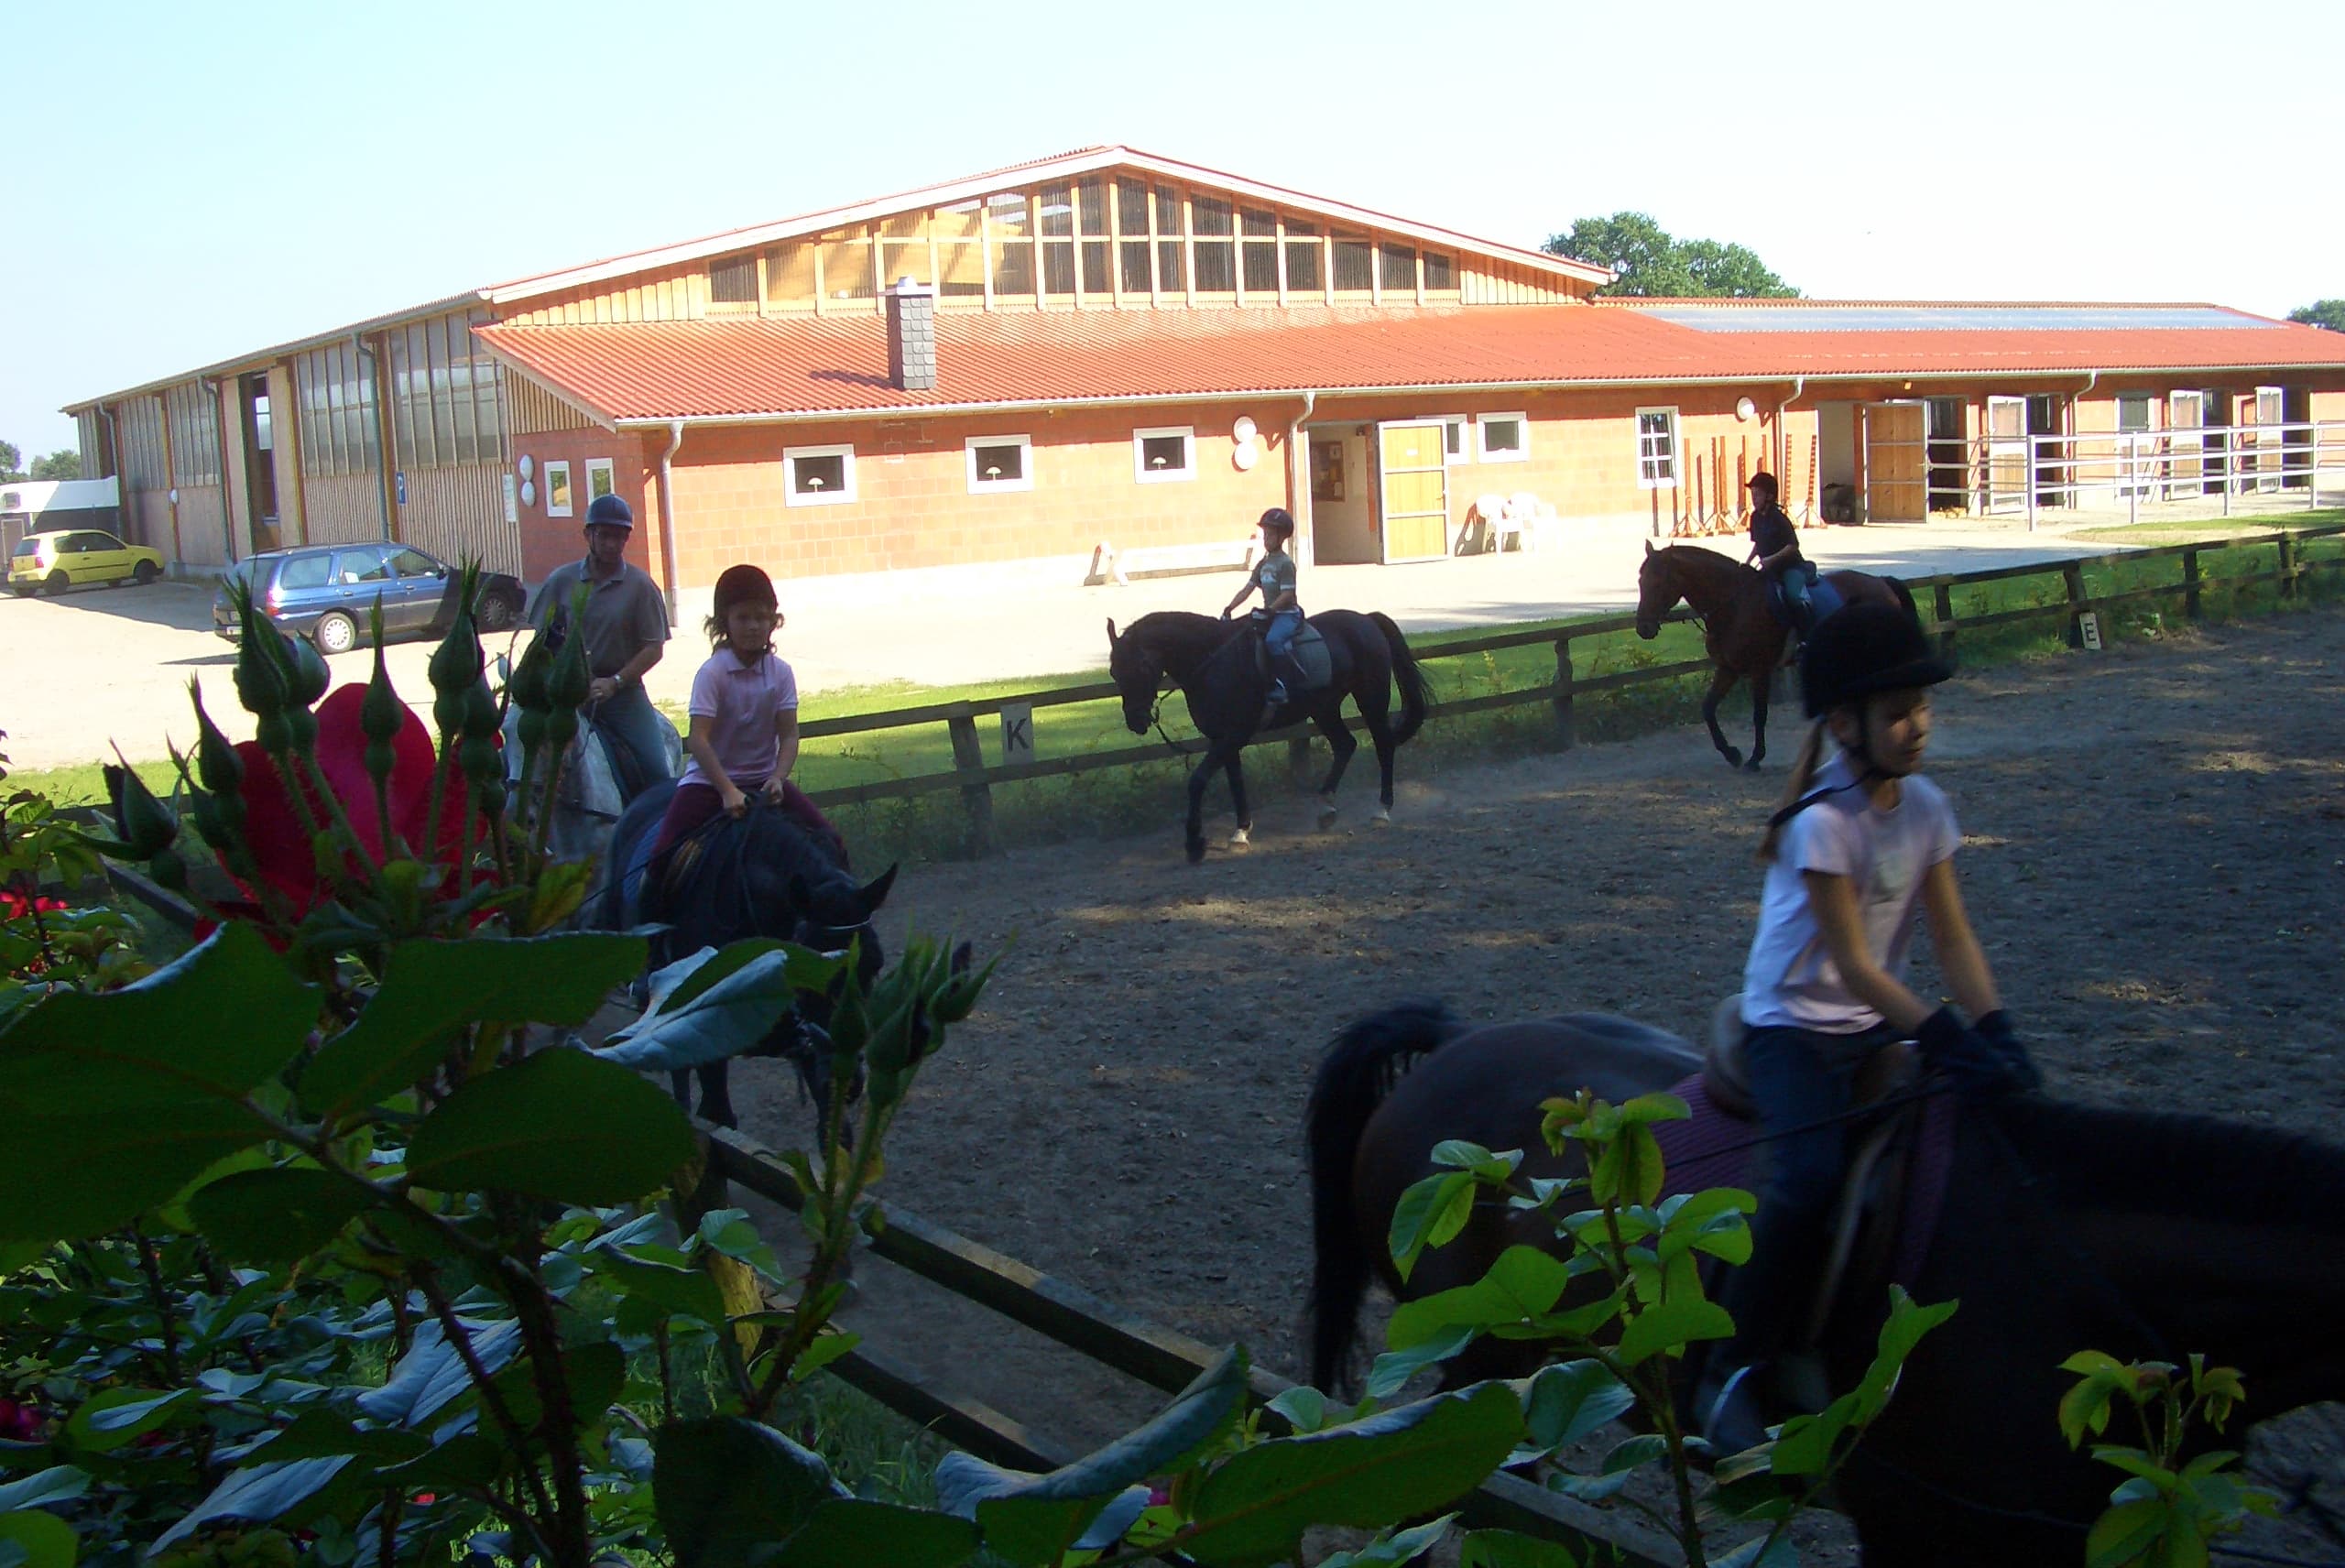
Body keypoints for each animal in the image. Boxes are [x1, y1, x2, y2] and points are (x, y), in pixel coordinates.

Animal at [605, 778, 895, 1125]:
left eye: (875, 965)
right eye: (804, 971)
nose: (848, 1079)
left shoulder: (810, 1044)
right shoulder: (704, 1040)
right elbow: (718, 1116)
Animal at [1102, 609, 1425, 862]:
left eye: (1141, 666)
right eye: (1114, 672)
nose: (1136, 720)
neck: (1213, 659)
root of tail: (1366, 620)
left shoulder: (1233, 735)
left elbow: (1197, 781)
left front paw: (1195, 842)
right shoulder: (1222, 739)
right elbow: (1236, 783)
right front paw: (1240, 832)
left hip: (1371, 699)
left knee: (1383, 746)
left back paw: (1382, 810)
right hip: (1325, 708)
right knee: (1346, 745)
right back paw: (1326, 808)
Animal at [1642, 543, 1913, 768]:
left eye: (1656, 583)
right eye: (1640, 581)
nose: (1643, 629)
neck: (1735, 604)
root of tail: (1881, 583)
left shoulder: (1760, 669)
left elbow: (1759, 713)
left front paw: (1754, 758)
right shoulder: (1729, 668)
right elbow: (1708, 707)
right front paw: (1731, 754)